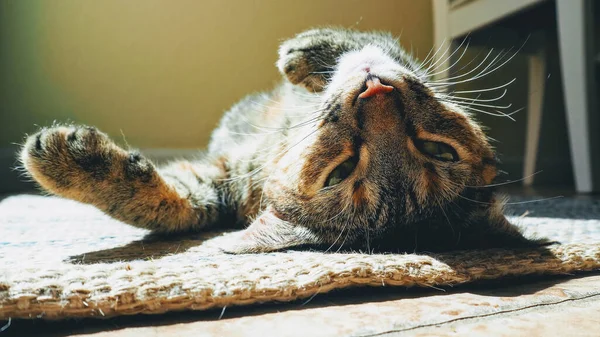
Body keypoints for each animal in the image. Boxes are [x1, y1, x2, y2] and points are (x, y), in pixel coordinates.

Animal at [21, 28, 540, 252]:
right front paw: (315, 51)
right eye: (341, 171)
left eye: (435, 150)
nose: (375, 91)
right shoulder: (223, 176)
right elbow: (160, 199)